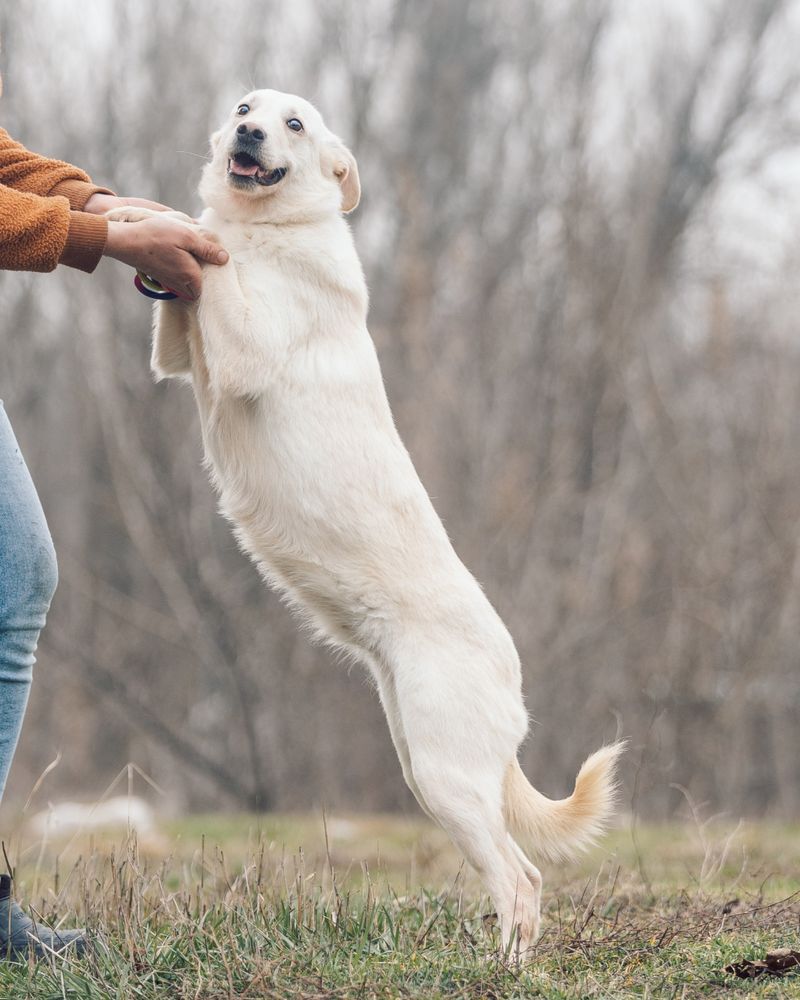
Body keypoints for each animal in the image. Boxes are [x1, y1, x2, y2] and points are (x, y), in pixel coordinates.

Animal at [109, 90, 624, 956]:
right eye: (245, 105)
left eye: (294, 124)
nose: (247, 131)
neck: (274, 228)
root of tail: (514, 680)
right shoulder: (180, 354)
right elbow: (183, 293)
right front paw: (140, 219)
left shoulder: (242, 347)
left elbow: (211, 255)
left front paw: (167, 221)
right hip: (424, 767)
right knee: (522, 871)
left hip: (448, 779)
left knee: (521, 879)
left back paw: (504, 968)